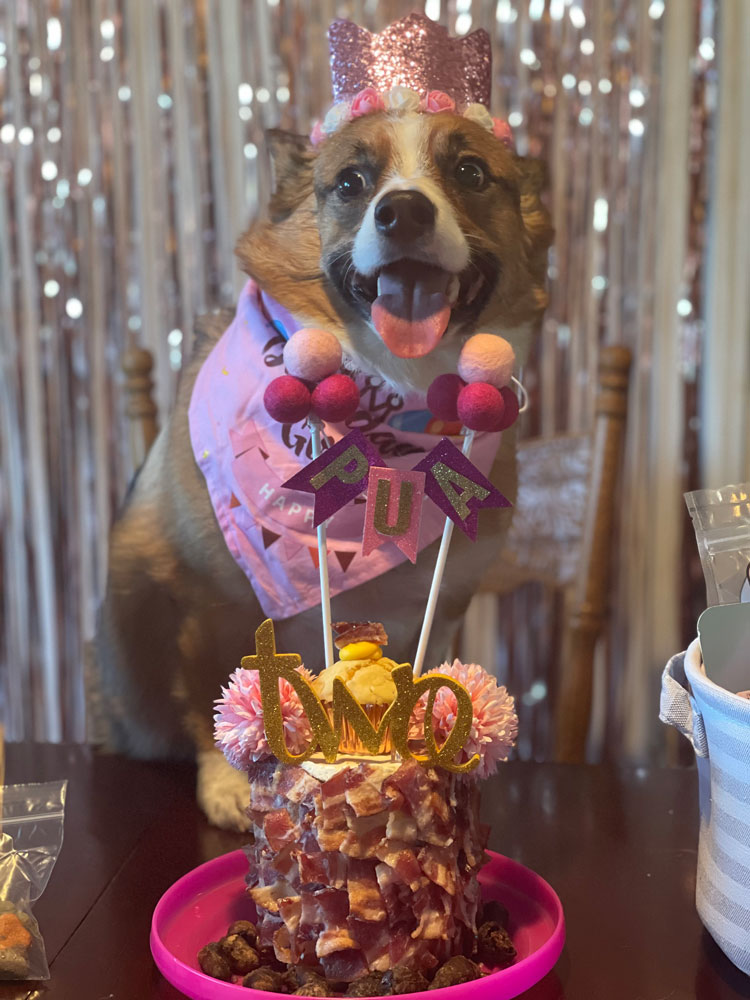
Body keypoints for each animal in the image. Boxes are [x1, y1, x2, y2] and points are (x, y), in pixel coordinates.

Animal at [92, 105, 552, 832]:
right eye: (351, 182)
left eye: (471, 172)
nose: (403, 212)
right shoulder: (207, 597)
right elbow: (219, 685)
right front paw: (228, 781)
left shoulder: (440, 607)